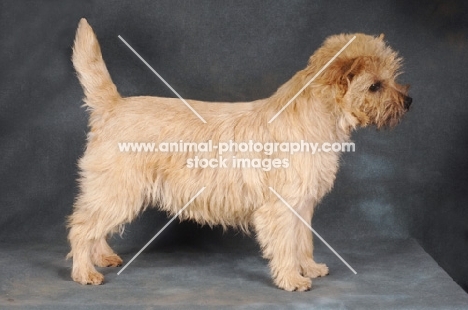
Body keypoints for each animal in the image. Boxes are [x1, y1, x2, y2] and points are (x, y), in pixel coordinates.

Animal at [67, 18, 412, 290]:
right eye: (375, 86)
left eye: (392, 77)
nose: (409, 102)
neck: (318, 118)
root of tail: (112, 106)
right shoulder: (281, 207)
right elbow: (286, 245)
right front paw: (292, 279)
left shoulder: (302, 205)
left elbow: (303, 241)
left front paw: (310, 268)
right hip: (118, 191)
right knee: (82, 227)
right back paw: (85, 272)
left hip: (111, 192)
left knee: (93, 225)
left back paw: (103, 257)